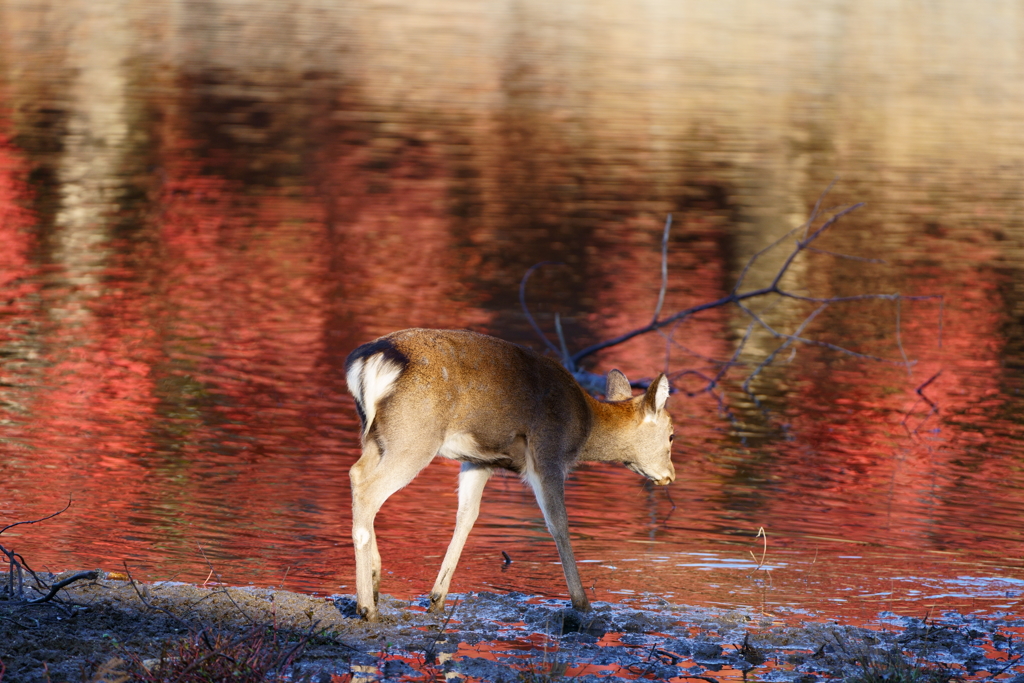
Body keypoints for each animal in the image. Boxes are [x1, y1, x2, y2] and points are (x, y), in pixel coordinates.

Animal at [348, 327, 675, 622]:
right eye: (672, 435)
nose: (670, 475)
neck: (585, 426)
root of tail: (369, 359)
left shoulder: (479, 460)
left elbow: (467, 517)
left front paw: (437, 599)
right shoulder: (548, 454)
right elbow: (558, 524)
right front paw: (582, 604)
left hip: (377, 437)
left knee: (355, 474)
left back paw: (375, 580)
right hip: (415, 436)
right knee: (368, 490)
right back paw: (366, 606)